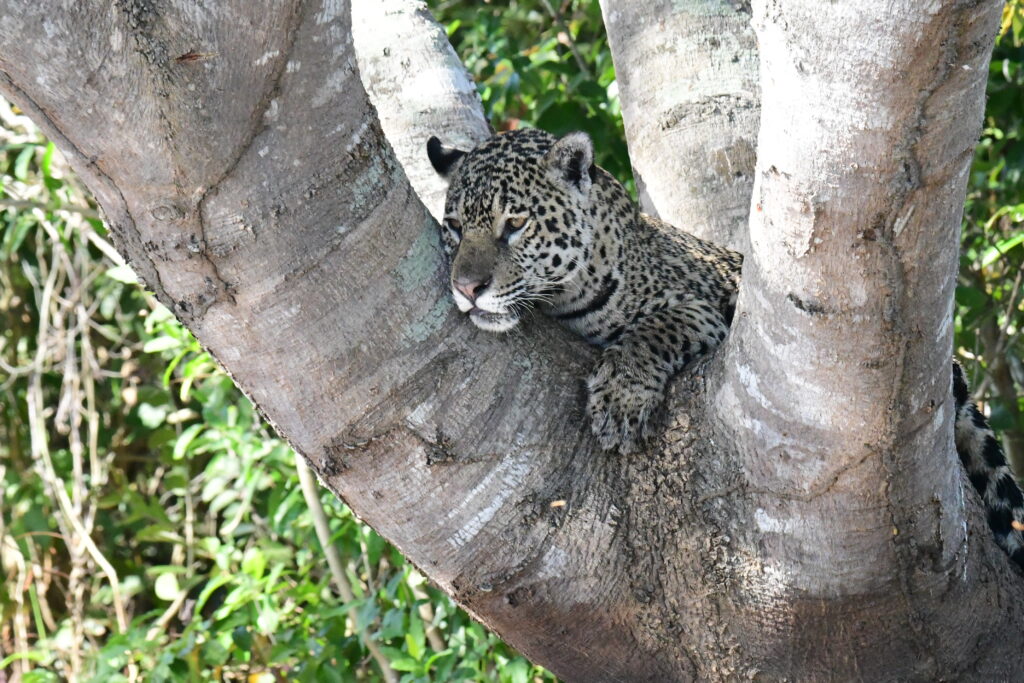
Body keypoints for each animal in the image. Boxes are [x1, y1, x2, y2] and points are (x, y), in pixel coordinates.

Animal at [426, 127, 1024, 568]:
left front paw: (620, 401)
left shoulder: (696, 308)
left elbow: (651, 333)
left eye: (515, 223)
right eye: (453, 226)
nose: (467, 288)